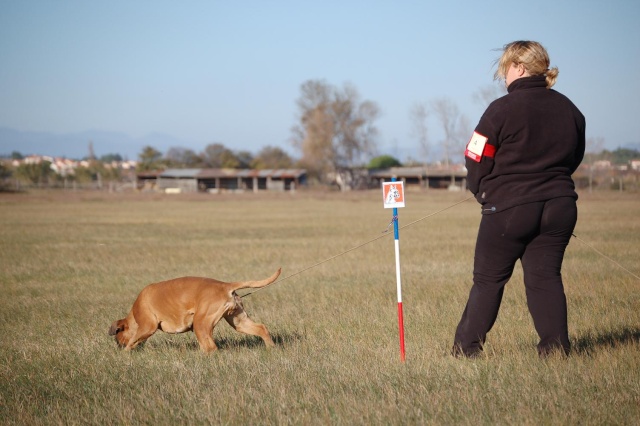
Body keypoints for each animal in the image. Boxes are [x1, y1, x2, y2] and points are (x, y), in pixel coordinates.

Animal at [108, 268, 280, 352]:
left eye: (117, 337)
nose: (117, 346)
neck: (134, 314)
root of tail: (225, 285)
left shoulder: (147, 327)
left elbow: (132, 341)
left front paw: (124, 354)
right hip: (239, 321)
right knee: (261, 328)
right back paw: (271, 348)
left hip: (201, 324)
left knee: (210, 347)